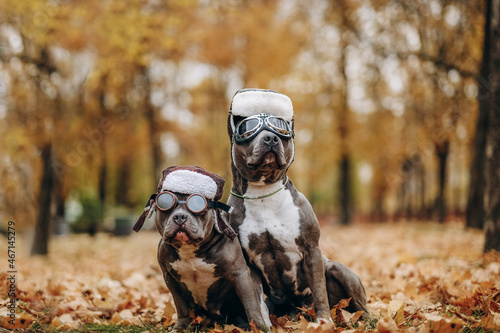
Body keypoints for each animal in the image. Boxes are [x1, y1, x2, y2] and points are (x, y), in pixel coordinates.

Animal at [133, 165, 272, 330]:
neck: (190, 250)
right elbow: (180, 306)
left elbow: (251, 305)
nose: (180, 216)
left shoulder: (240, 274)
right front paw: (181, 327)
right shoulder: (170, 278)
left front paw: (260, 328)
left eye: (198, 204)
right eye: (165, 203)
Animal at [227, 89, 368, 322]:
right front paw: (261, 323)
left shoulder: (311, 249)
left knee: (360, 306)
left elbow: (319, 289)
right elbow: (255, 299)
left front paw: (324, 321)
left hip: (339, 270)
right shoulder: (248, 262)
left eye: (279, 127)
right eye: (249, 128)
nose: (271, 138)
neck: (263, 191)